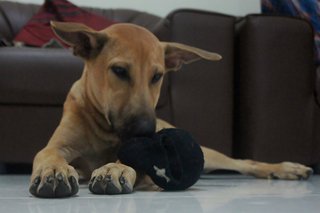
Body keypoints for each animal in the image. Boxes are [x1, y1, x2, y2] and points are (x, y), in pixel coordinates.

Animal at [28, 21, 314, 198]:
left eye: (157, 76)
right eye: (119, 71)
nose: (148, 132)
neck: (104, 127)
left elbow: (129, 159)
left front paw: (114, 169)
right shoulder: (58, 145)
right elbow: (48, 154)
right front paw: (54, 170)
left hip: (210, 154)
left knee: (244, 162)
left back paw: (285, 168)